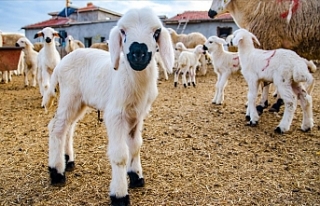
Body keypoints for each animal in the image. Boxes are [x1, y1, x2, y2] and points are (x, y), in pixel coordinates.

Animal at [42, 7, 174, 205]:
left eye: (156, 32)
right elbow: (120, 155)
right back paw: (57, 172)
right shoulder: (115, 115)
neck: (131, 78)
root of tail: (61, 63)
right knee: (57, 127)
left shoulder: (138, 115)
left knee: (68, 128)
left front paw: (136, 176)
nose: (138, 53)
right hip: (69, 95)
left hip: (79, 101)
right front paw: (119, 194)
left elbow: (136, 145)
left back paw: (68, 160)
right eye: (123, 31)